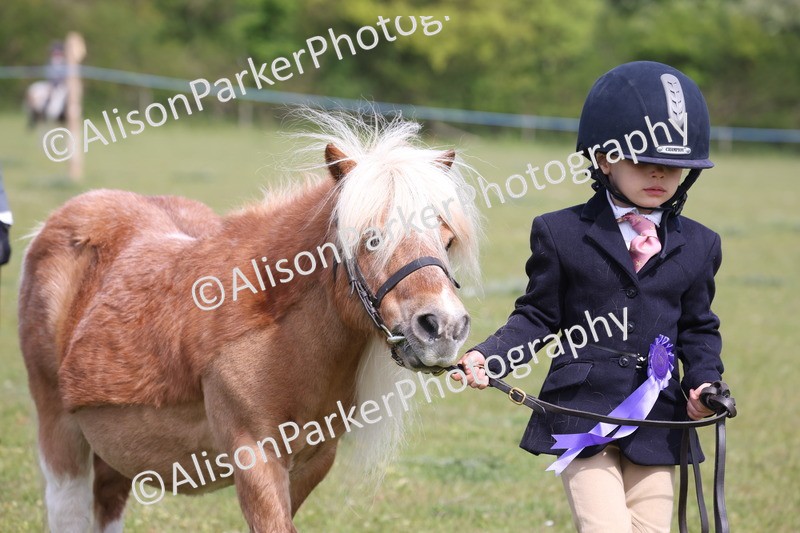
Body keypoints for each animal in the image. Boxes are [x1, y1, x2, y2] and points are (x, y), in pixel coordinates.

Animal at [18, 110, 482, 532]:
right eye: (371, 238)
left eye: (447, 240)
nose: (443, 327)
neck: (277, 336)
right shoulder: (254, 458)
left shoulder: (312, 463)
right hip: (61, 434)